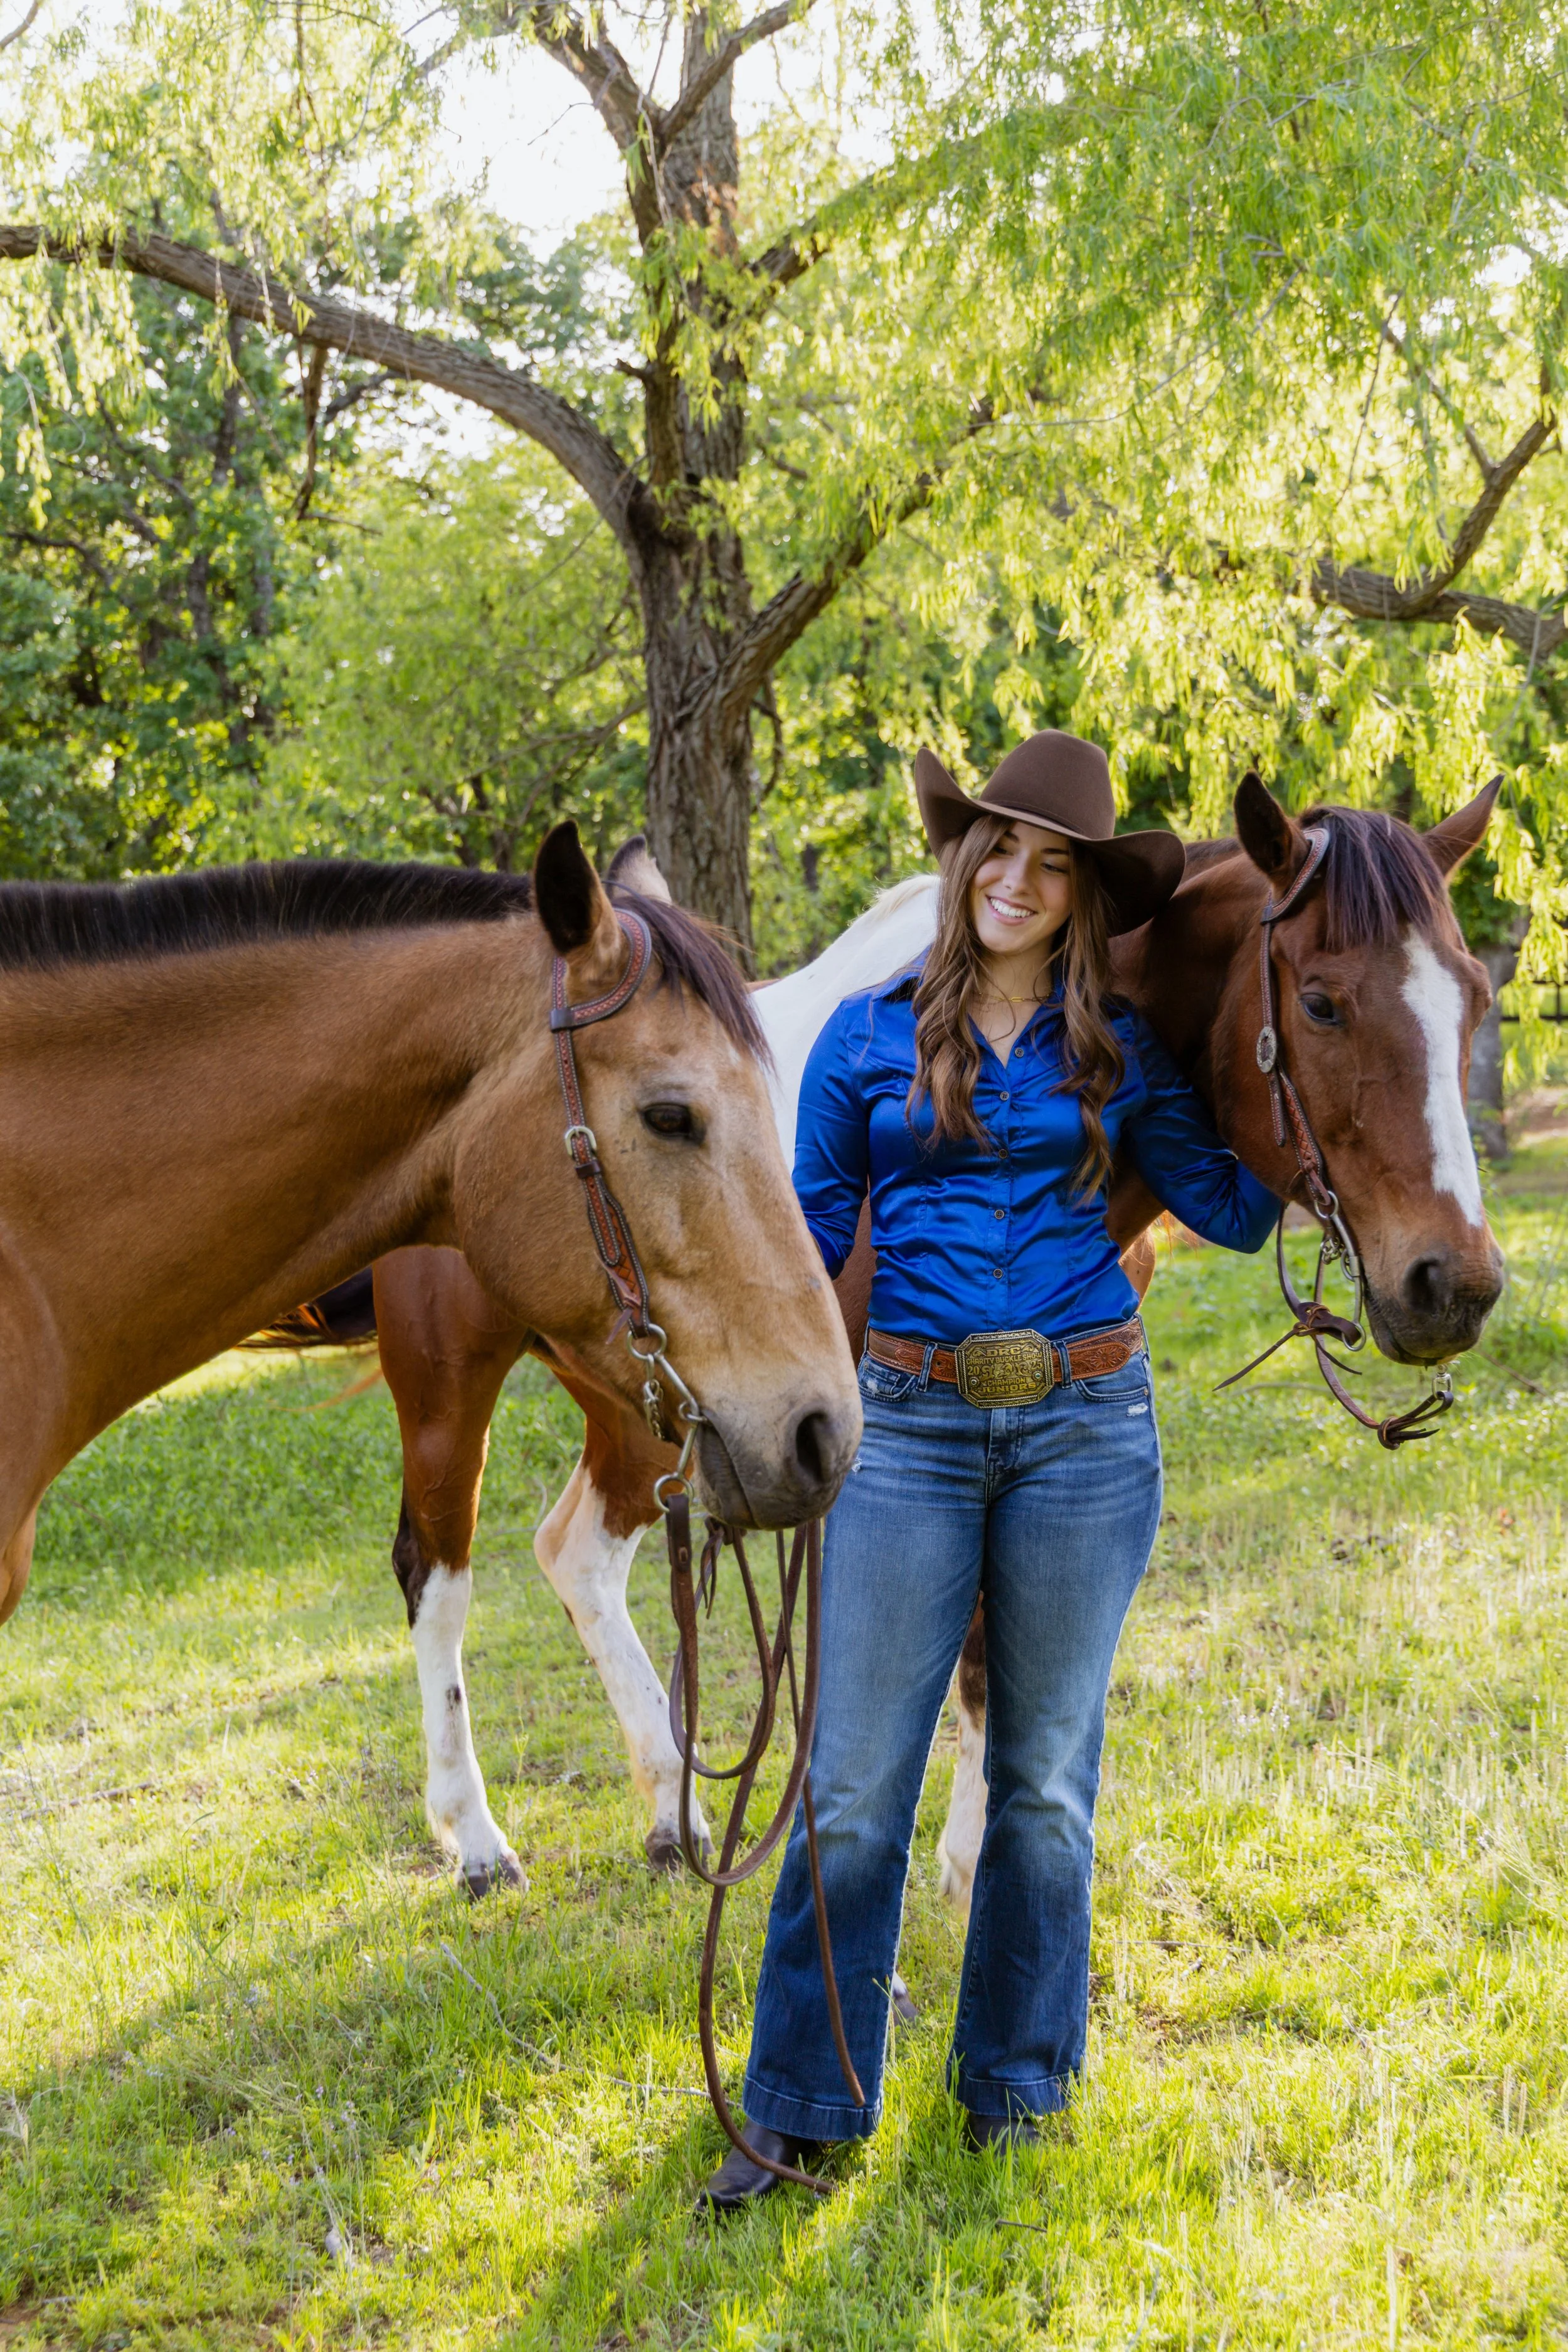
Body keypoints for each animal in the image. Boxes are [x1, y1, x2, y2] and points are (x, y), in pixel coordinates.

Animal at [281, 777, 1505, 1898]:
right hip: (455, 1382)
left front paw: (966, 1859)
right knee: (438, 1578)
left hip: (646, 1399)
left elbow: (988, 1645)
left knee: (576, 1552)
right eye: (1325, 1004)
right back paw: (477, 1837)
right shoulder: (844, 1448)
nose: (1455, 1284)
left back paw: (674, 1808)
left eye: (1478, 999)